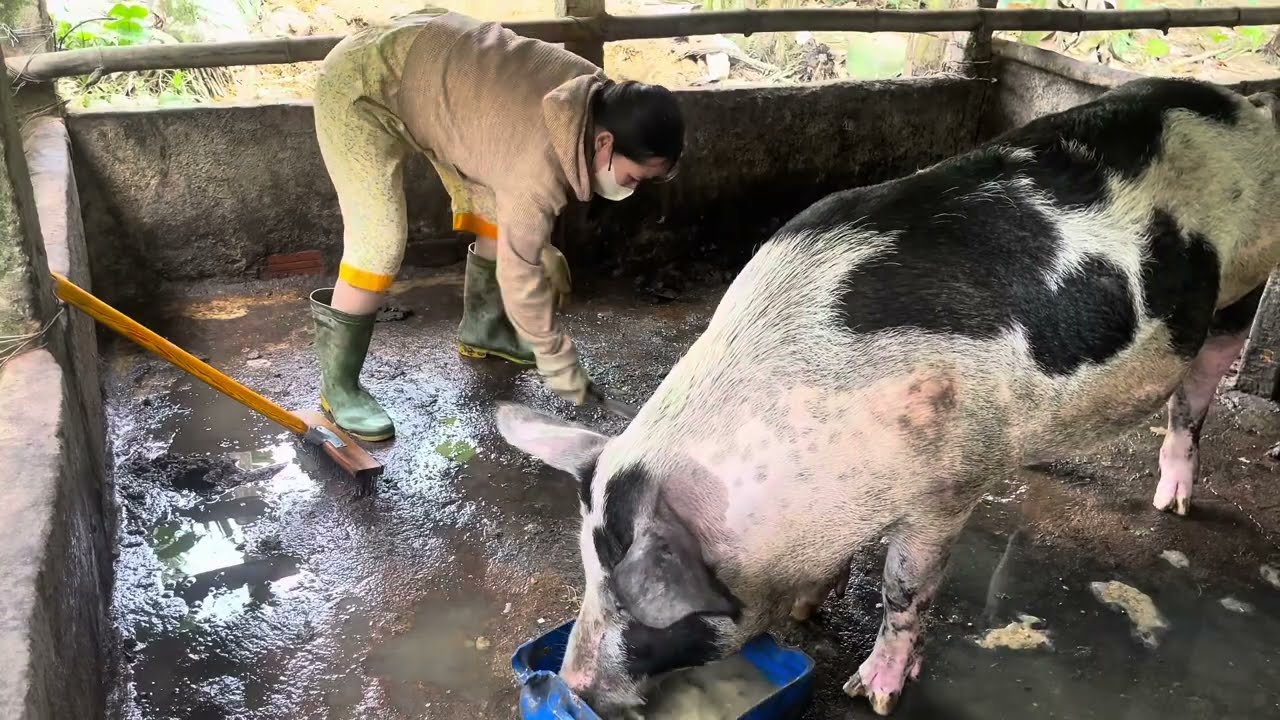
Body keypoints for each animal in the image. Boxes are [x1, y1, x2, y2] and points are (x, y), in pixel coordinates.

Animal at [496, 78, 1280, 716]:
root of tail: (1246, 106)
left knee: (1196, 396)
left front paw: (871, 692)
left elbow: (903, 590)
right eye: (586, 569)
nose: (576, 685)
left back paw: (1173, 503)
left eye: (635, 605)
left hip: (1242, 287)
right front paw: (808, 610)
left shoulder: (945, 490)